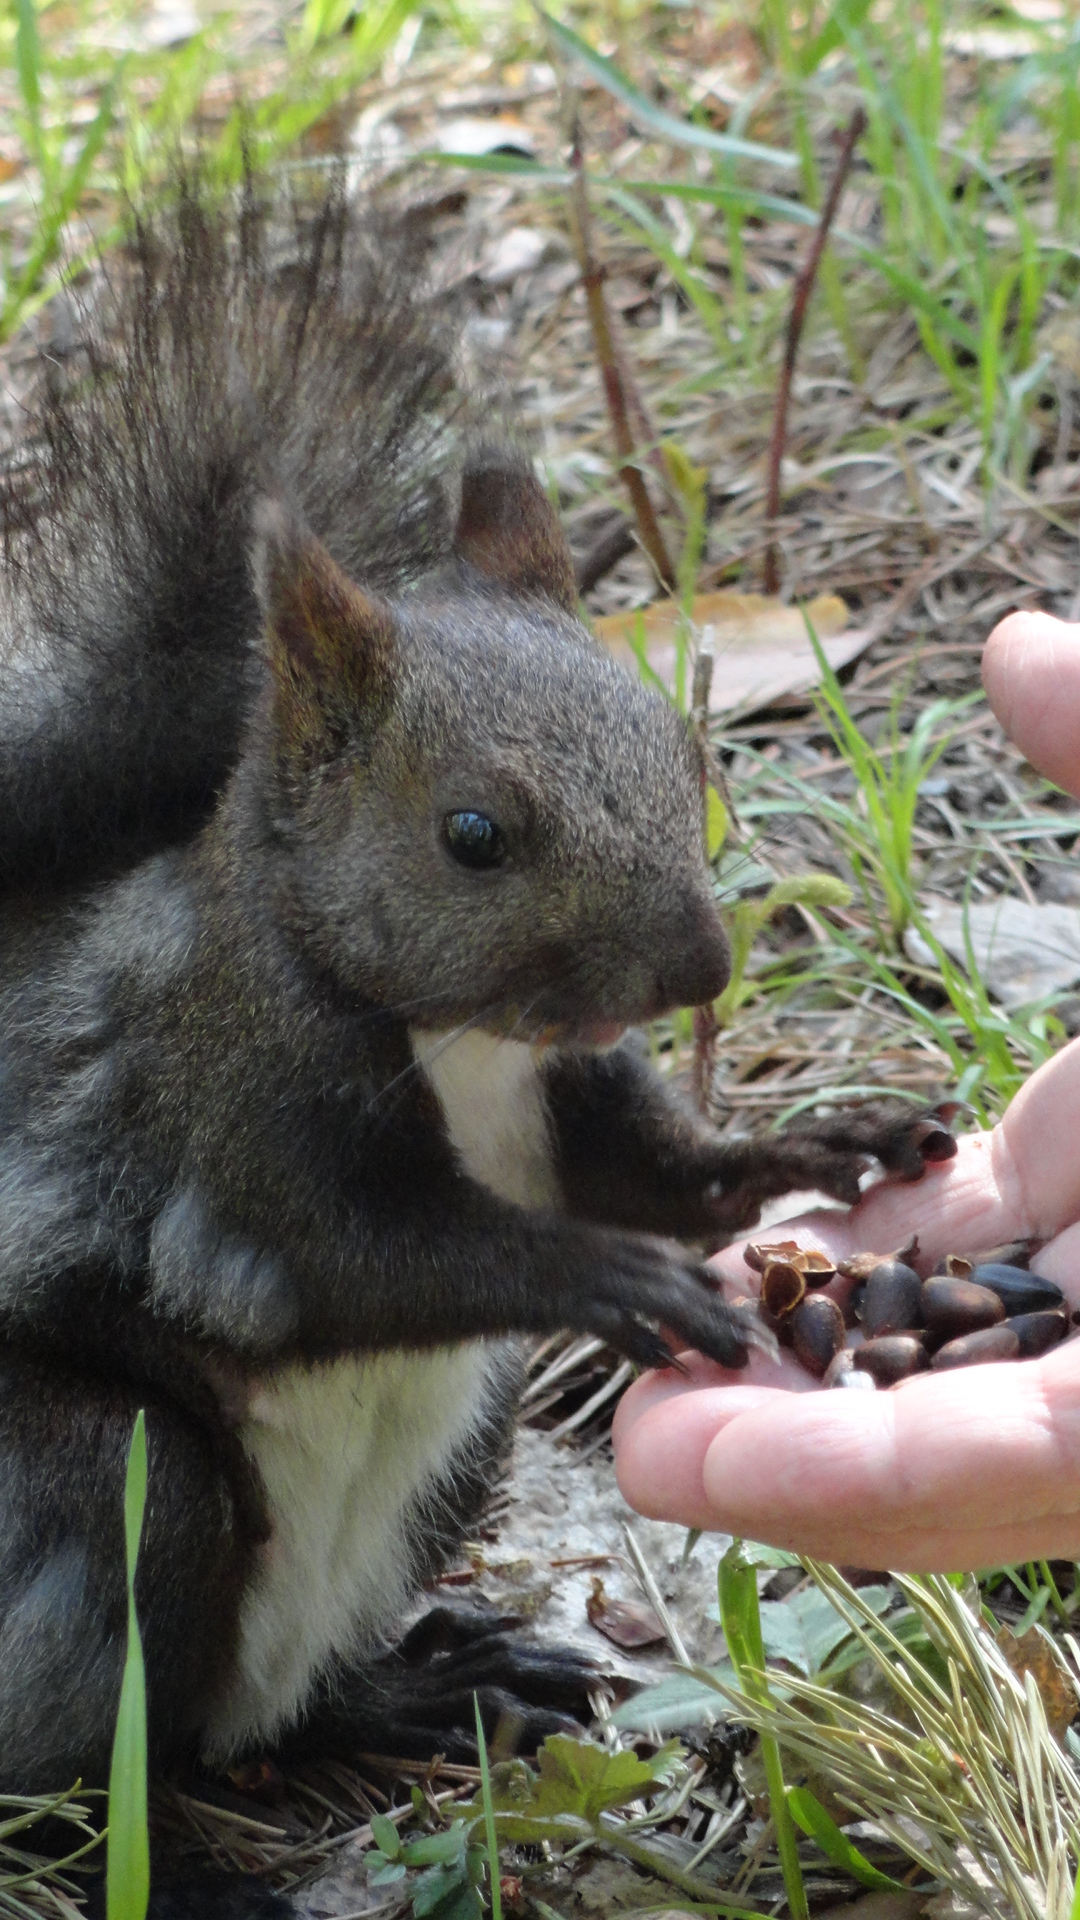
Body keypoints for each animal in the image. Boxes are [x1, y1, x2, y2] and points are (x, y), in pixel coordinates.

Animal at [0, 170, 945, 1915]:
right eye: (472, 835)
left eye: (684, 750)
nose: (699, 966)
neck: (465, 1047)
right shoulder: (237, 1130)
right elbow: (366, 1262)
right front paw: (602, 1279)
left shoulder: (569, 1098)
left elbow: (666, 1175)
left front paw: (821, 1145)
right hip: (98, 1500)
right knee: (107, 1737)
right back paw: (194, 1866)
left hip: (458, 1454)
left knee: (268, 1715)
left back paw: (428, 1690)